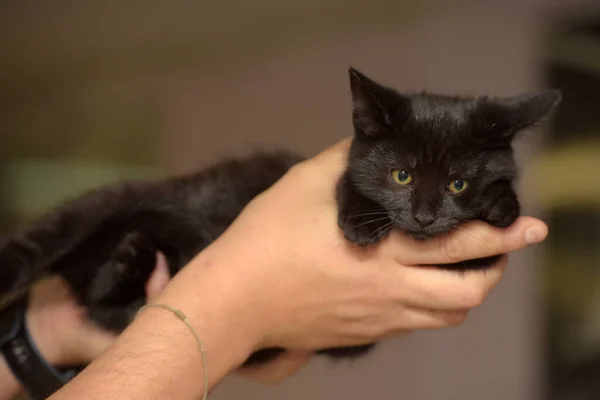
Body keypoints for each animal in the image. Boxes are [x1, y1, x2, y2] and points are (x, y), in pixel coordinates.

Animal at [0, 67, 560, 370]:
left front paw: (500, 203)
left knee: (104, 299)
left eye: (456, 185)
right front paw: (359, 221)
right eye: (400, 176)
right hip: (115, 201)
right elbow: (346, 180)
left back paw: (131, 262)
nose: (423, 218)